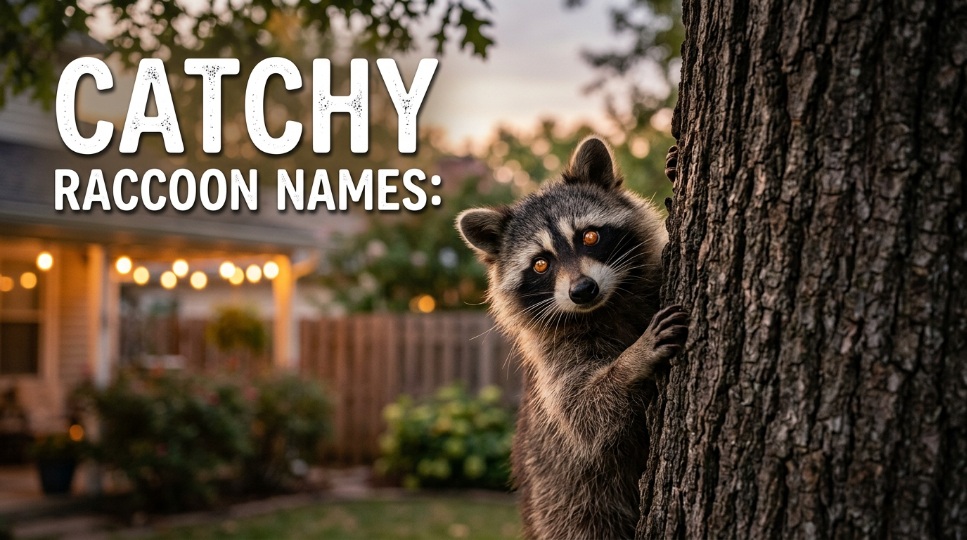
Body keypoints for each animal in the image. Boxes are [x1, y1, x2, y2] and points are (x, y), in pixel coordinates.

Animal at [456, 137, 688, 539]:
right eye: (540, 264)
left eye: (589, 236)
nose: (582, 290)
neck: (607, 305)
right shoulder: (555, 358)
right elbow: (586, 415)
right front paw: (634, 361)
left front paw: (672, 167)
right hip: (569, 508)